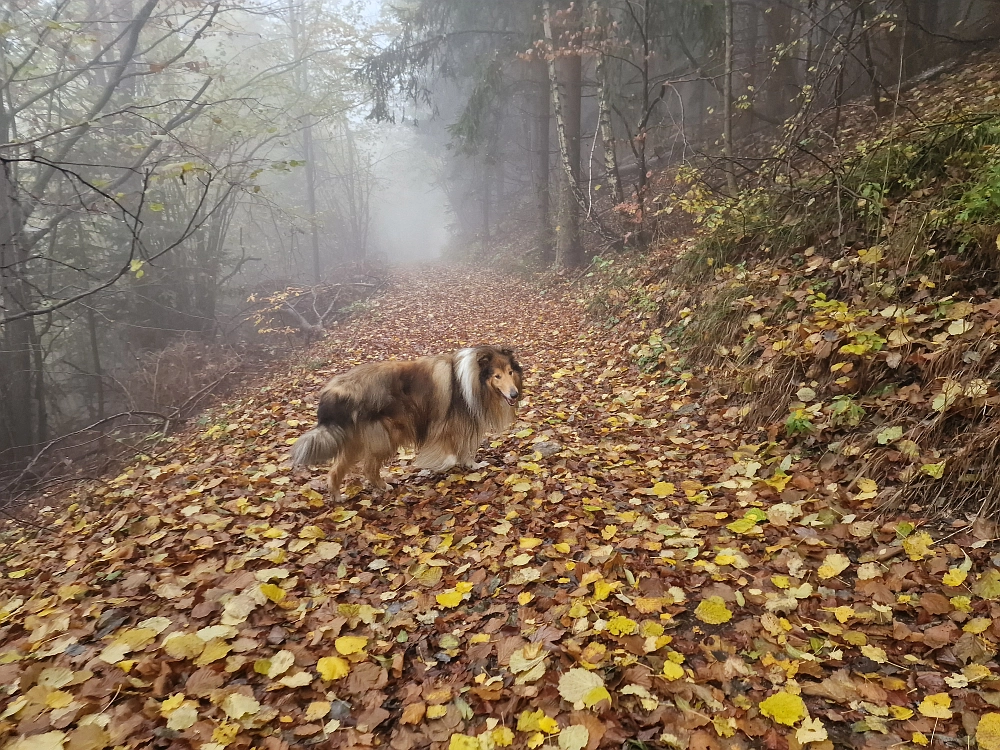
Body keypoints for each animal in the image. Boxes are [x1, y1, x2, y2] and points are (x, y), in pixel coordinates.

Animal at [290, 348, 524, 502]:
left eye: (510, 372)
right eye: (497, 375)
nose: (514, 394)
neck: (472, 381)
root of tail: (335, 391)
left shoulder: (463, 425)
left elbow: (465, 450)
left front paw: (473, 465)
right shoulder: (446, 426)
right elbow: (451, 454)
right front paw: (436, 466)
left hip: (355, 441)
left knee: (335, 470)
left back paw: (338, 497)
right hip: (385, 436)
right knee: (368, 467)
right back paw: (383, 486)